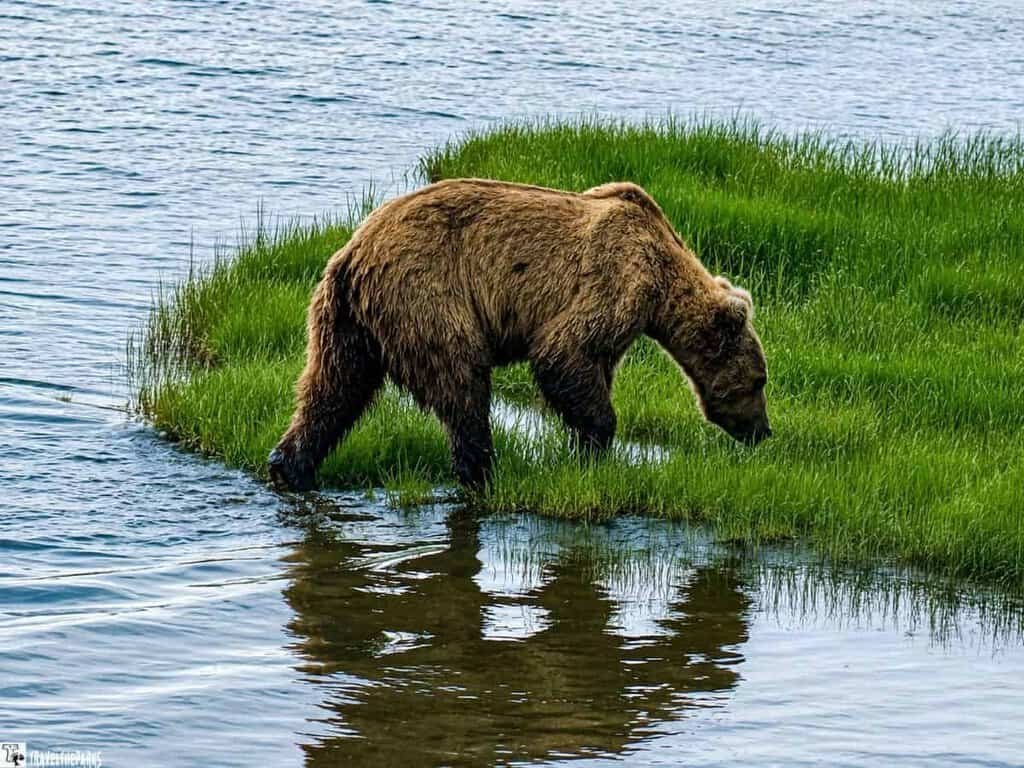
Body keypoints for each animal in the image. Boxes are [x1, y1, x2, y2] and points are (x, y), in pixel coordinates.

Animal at [268, 178, 770, 491]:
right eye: (759, 381)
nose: (764, 431)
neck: (663, 278)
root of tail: (353, 252)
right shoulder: (614, 280)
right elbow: (563, 354)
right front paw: (597, 442)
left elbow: (592, 369)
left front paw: (583, 451)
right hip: (425, 295)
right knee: (461, 384)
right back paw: (481, 470)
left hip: (344, 321)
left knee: (333, 389)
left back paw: (291, 467)